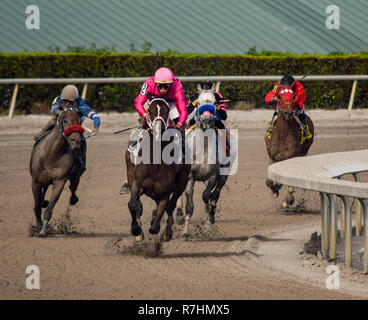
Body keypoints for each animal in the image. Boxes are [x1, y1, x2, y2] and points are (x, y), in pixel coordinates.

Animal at [29, 104, 86, 236]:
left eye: (79, 120)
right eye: (65, 120)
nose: (76, 140)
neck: (51, 154)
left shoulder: (59, 181)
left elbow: (49, 209)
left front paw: (42, 231)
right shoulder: (35, 181)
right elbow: (36, 207)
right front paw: (37, 227)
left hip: (76, 174)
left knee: (73, 187)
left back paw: (73, 199)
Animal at [126, 96, 191, 241]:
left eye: (167, 111)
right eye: (149, 111)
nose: (158, 130)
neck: (154, 164)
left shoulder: (165, 192)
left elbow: (160, 218)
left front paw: (161, 228)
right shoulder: (137, 183)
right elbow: (133, 204)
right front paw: (136, 230)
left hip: (181, 182)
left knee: (171, 206)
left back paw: (167, 231)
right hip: (130, 173)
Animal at [175, 105, 236, 238]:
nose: (206, 119)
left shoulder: (213, 176)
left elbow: (206, 195)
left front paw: (209, 209)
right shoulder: (190, 177)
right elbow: (189, 204)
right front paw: (185, 231)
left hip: (224, 175)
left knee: (216, 193)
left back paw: (211, 215)